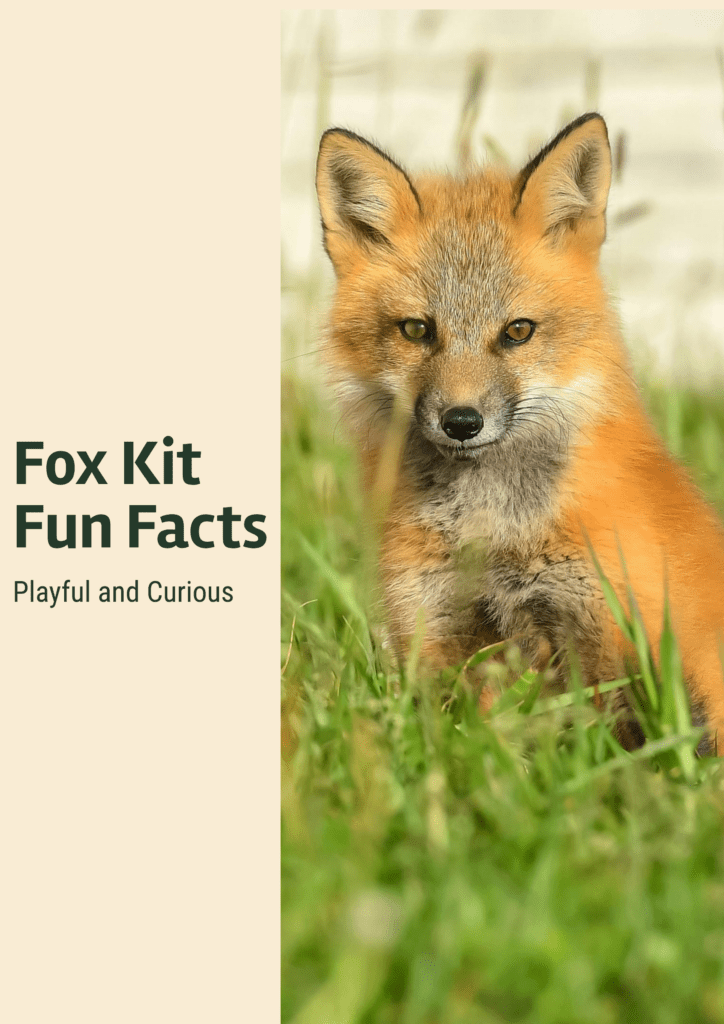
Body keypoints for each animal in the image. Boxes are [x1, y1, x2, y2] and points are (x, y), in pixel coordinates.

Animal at [315, 112, 724, 753]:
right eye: (417, 330)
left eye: (518, 331)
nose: (461, 422)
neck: (493, 532)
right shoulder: (436, 628)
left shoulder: (607, 631)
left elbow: (615, 752)